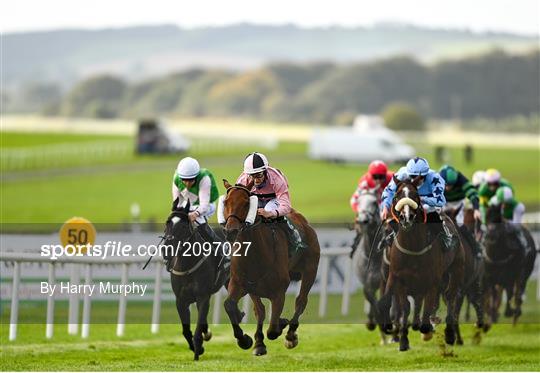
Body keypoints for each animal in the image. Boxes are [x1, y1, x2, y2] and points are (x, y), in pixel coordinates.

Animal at [161, 199, 227, 358]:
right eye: (167, 222)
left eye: (184, 226)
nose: (166, 249)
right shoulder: (181, 300)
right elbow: (186, 330)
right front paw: (197, 347)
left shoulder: (203, 297)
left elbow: (197, 330)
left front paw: (198, 349)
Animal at [220, 179, 320, 354]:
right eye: (225, 202)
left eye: (246, 203)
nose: (231, 231)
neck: (256, 254)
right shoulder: (242, 284)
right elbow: (235, 306)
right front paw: (248, 341)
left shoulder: (279, 291)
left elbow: (273, 329)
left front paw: (282, 324)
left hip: (310, 270)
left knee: (301, 301)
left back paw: (290, 336)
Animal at [376, 176, 464, 350]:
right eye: (396, 196)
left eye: (416, 196)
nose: (406, 217)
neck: (412, 247)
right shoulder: (398, 278)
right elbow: (403, 307)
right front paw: (403, 340)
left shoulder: (432, 282)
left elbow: (428, 306)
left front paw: (427, 329)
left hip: (455, 270)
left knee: (450, 297)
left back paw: (449, 334)